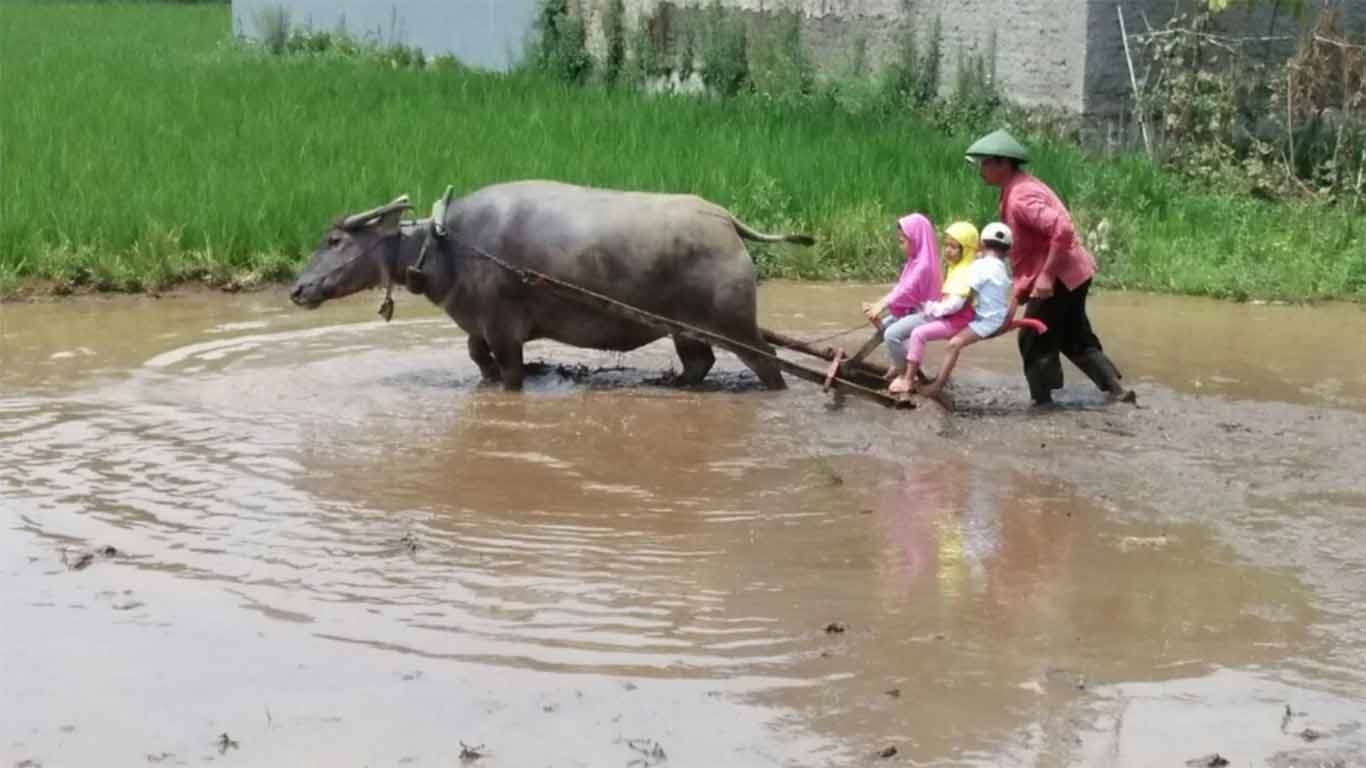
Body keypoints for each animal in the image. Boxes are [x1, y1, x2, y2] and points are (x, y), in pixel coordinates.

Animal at [289, 179, 814, 388]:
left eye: (334, 239)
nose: (297, 290)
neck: (449, 246)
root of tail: (726, 221)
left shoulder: (505, 332)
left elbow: (510, 373)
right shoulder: (479, 328)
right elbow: (477, 358)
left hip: (733, 323)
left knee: (769, 363)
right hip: (683, 328)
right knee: (699, 363)